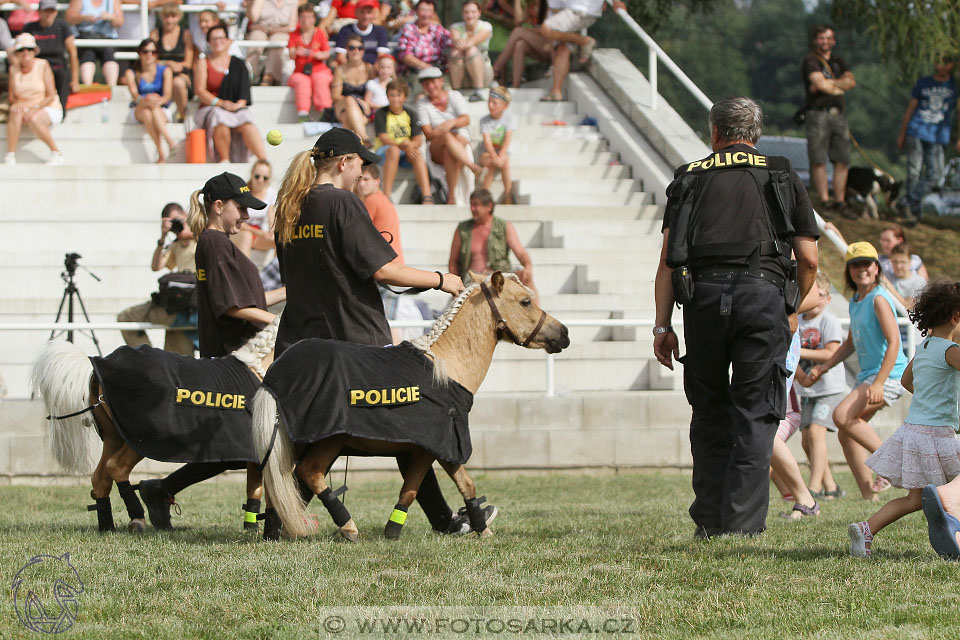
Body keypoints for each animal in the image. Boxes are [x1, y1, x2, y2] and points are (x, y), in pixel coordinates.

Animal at [30, 318, 278, 532]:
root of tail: (97, 367)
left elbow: (254, 486)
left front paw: (252, 526)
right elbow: (258, 485)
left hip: (115, 436)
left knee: (100, 477)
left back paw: (108, 526)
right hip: (144, 438)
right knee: (116, 466)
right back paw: (137, 518)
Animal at [255, 270, 568, 540]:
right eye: (525, 301)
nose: (563, 333)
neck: (446, 368)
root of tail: (276, 373)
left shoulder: (423, 449)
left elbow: (416, 487)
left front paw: (394, 530)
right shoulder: (444, 445)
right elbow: (460, 483)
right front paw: (481, 528)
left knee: (279, 484)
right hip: (329, 440)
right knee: (309, 472)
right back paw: (346, 526)